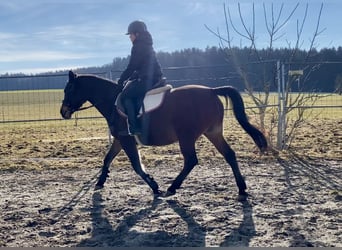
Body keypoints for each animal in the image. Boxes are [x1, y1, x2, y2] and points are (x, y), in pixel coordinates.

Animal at [60, 70, 268, 201]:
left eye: (69, 89)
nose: (63, 112)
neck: (112, 101)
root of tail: (210, 91)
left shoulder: (126, 139)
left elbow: (136, 165)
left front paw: (154, 186)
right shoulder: (120, 139)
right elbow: (107, 159)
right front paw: (100, 182)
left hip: (186, 137)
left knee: (191, 160)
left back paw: (172, 188)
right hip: (213, 133)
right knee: (229, 155)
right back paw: (242, 190)